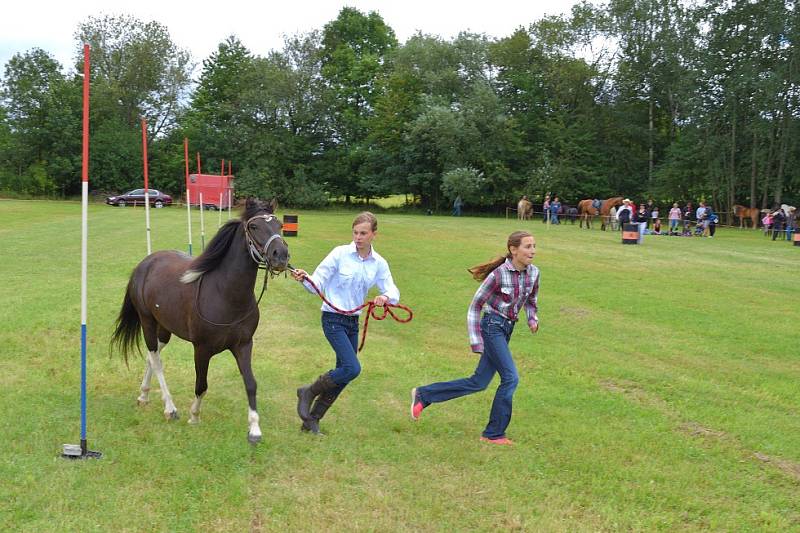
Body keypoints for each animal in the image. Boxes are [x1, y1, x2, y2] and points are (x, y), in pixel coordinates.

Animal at [111, 197, 290, 442]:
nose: (280, 255)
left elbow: (251, 383)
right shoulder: (202, 349)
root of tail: (145, 264)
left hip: (164, 329)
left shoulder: (244, 345)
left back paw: (144, 396)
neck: (225, 294)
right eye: (254, 226)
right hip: (147, 322)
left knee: (151, 356)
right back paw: (170, 408)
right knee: (156, 360)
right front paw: (194, 416)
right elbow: (201, 385)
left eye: (280, 225)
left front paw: (254, 428)